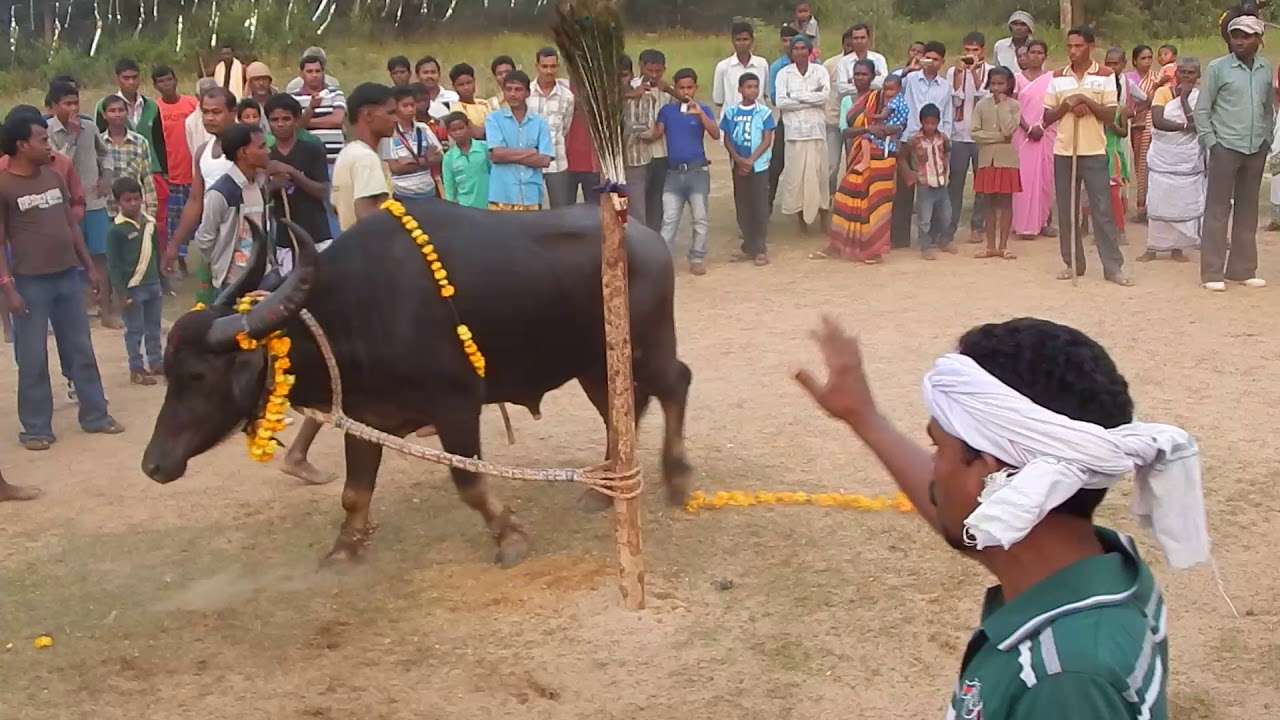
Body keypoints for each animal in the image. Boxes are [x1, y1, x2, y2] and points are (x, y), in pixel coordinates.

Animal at [142, 198, 691, 563]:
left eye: (197, 374)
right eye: (169, 371)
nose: (154, 464)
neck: (358, 307)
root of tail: (647, 238)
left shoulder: (457, 407)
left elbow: (470, 483)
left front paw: (510, 536)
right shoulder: (363, 416)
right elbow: (355, 490)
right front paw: (345, 547)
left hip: (645, 349)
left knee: (675, 385)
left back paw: (677, 477)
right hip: (594, 366)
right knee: (622, 411)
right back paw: (603, 489)